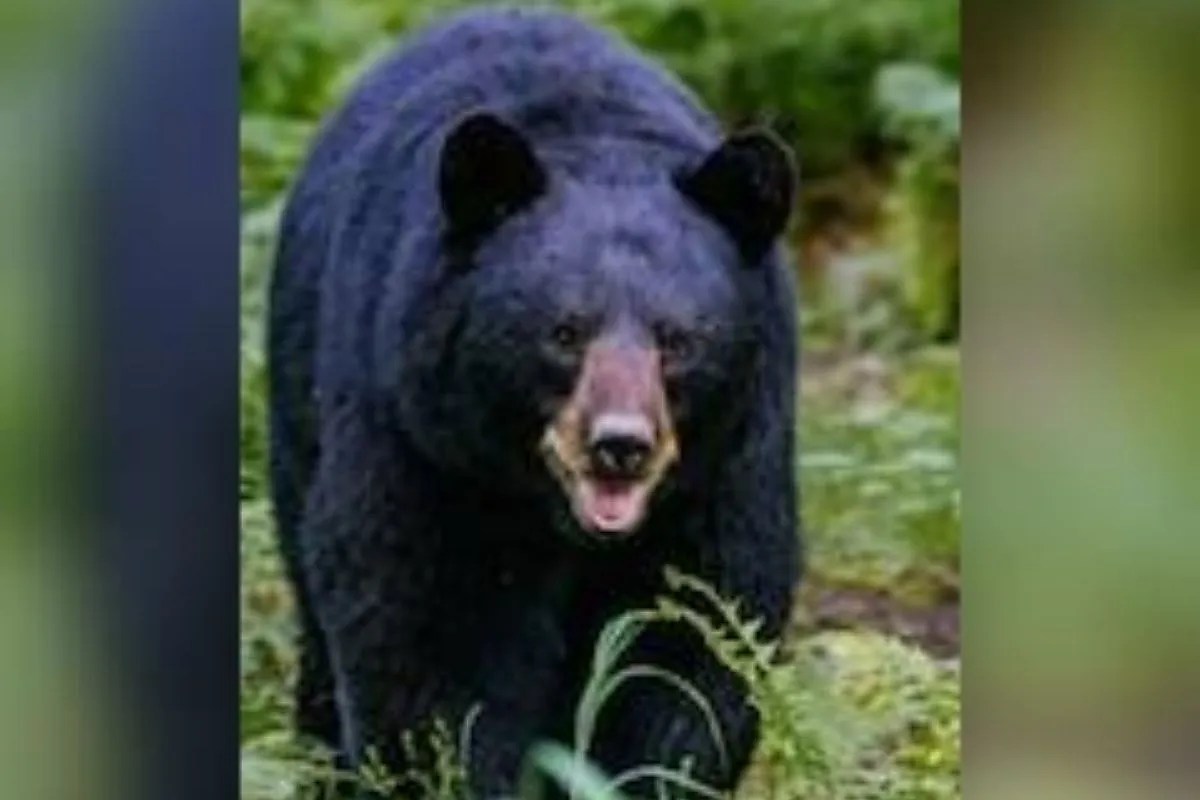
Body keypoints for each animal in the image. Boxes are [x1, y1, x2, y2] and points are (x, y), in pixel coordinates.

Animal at [268, 7, 801, 798]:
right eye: (564, 332)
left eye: (677, 339)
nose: (620, 445)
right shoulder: (425, 445)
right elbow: (428, 640)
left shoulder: (727, 466)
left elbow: (693, 645)